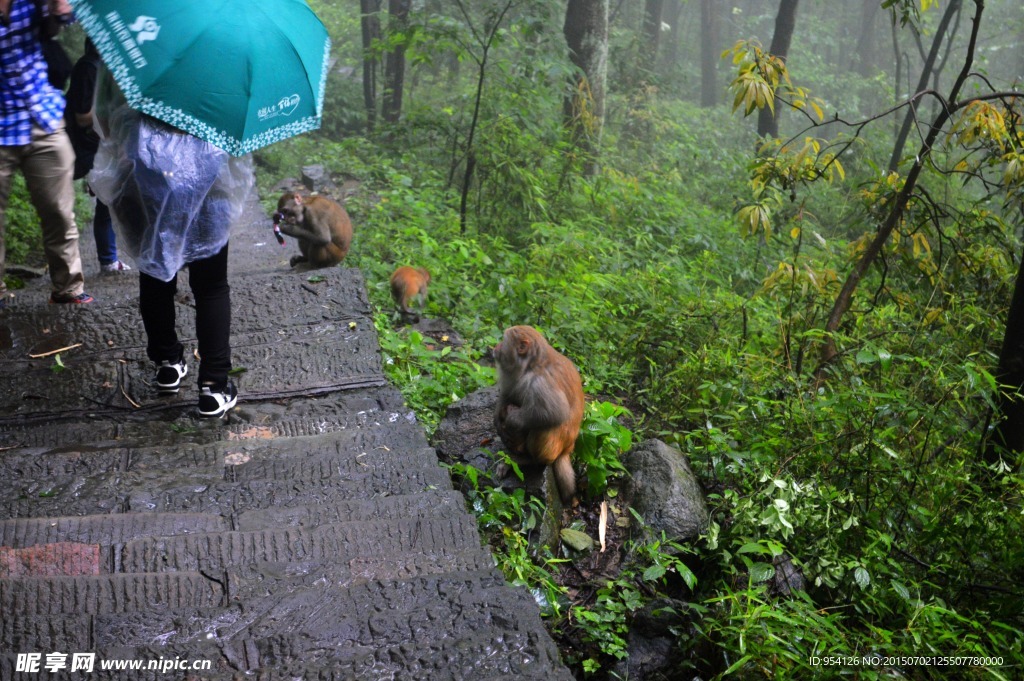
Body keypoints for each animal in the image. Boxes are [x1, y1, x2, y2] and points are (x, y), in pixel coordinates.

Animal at [493, 321, 585, 501]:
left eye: (504, 340)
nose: (496, 346)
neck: (529, 366)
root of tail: (568, 448)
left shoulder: (540, 382)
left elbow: (556, 413)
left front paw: (511, 420)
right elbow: (507, 394)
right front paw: (497, 420)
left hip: (554, 449)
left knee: (544, 428)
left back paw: (528, 460)